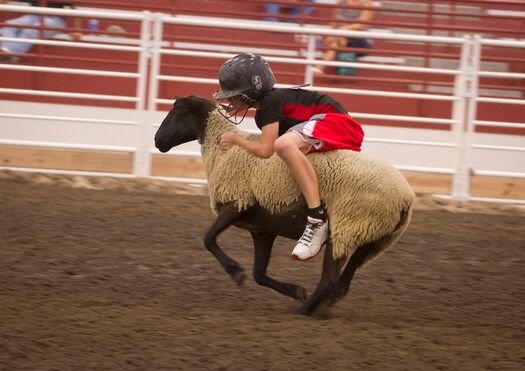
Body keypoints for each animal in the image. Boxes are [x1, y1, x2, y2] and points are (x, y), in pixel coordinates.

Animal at [154, 96, 416, 316]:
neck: (222, 150)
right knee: (343, 282)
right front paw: (295, 290)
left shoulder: (237, 202)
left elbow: (208, 239)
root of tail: (405, 198)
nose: (157, 140)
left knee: (331, 279)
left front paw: (235, 272)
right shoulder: (262, 229)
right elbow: (259, 274)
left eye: (178, 110)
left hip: (347, 227)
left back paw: (305, 311)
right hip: (371, 239)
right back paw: (318, 305)